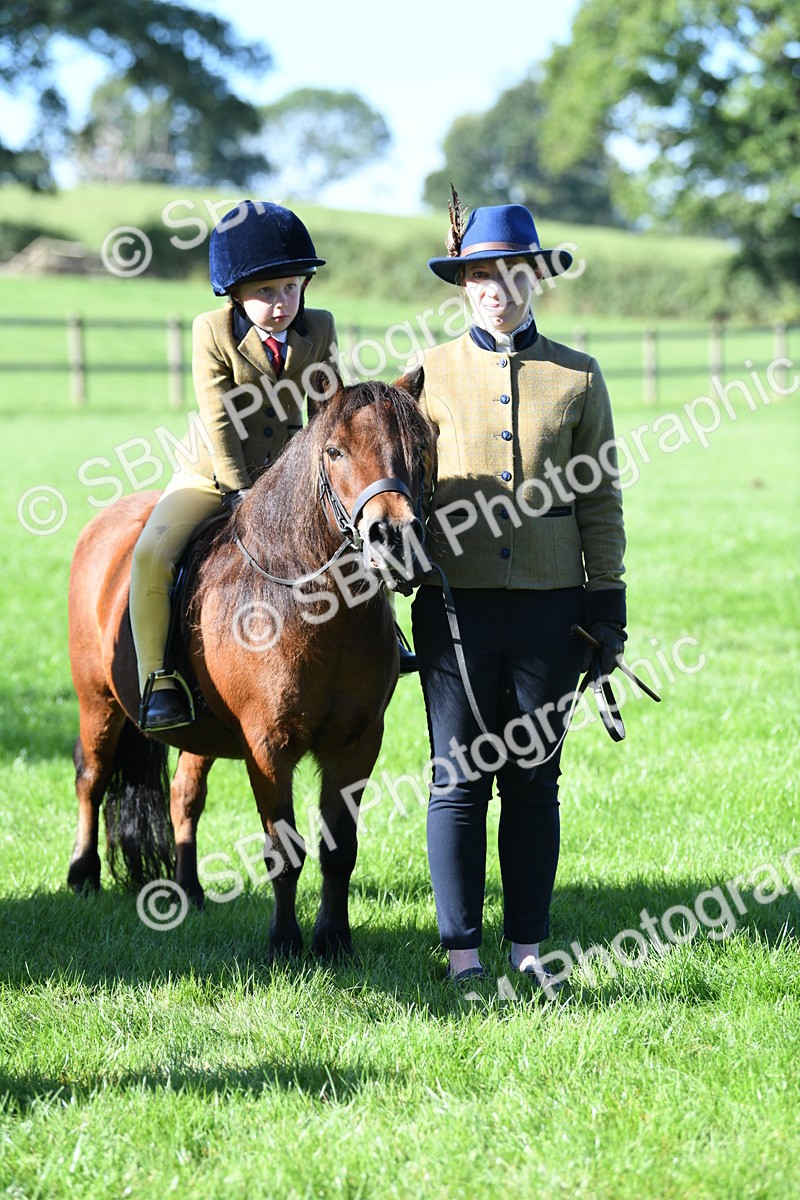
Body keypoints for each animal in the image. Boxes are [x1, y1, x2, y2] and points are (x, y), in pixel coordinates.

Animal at [66, 372, 434, 959]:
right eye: (334, 452)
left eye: (420, 451)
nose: (393, 539)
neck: (313, 607)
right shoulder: (268, 746)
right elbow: (283, 850)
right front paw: (284, 944)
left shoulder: (357, 744)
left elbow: (340, 848)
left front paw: (334, 940)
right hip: (97, 703)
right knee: (91, 780)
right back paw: (82, 875)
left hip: (199, 732)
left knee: (184, 796)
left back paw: (189, 889)